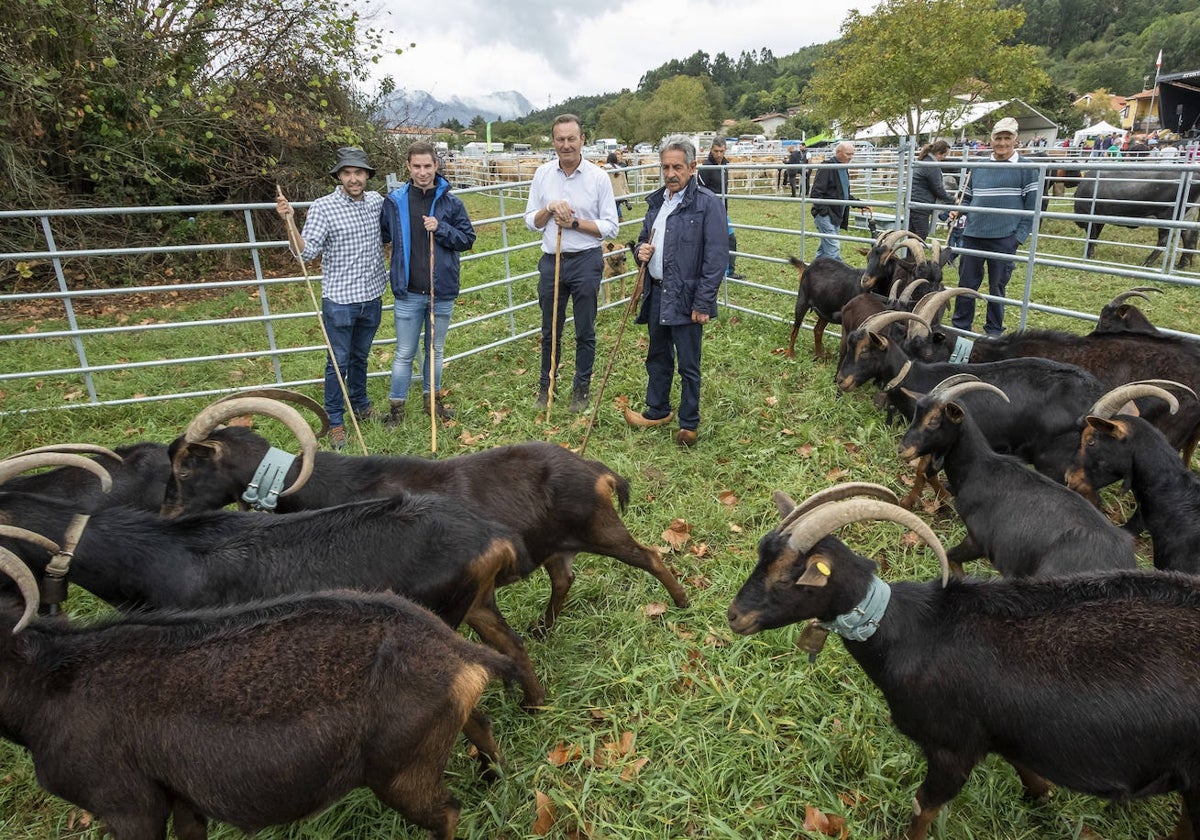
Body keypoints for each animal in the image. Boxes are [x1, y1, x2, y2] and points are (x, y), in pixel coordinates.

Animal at [0, 547, 511, 835]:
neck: (50, 684)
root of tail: (454, 650)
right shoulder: (184, 800)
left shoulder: (127, 805)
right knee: (482, 725)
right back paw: (494, 779)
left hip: (400, 771)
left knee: (446, 814)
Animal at [162, 396, 686, 633]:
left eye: (186, 465)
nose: (168, 513)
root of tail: (597, 471)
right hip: (556, 544)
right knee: (564, 579)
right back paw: (543, 628)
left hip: (599, 527)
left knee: (651, 555)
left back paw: (681, 604)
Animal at [724, 482, 1200, 840]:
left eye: (790, 576)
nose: (734, 616)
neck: (915, 632)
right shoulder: (1000, 730)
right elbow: (1026, 769)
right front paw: (1041, 797)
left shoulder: (951, 746)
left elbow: (923, 808)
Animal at [902, 381, 1132, 578]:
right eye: (915, 415)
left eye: (934, 420)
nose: (903, 449)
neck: (980, 470)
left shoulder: (979, 539)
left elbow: (951, 557)